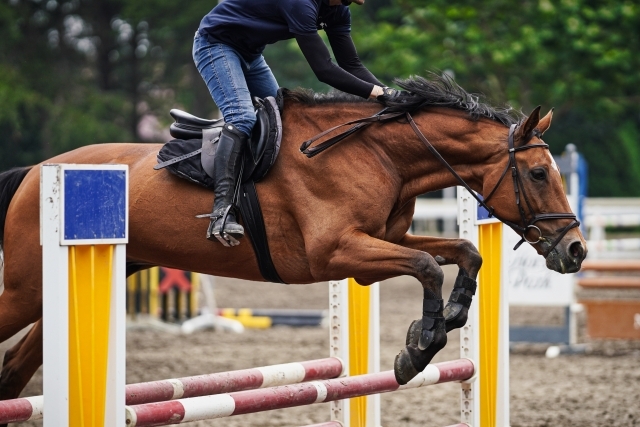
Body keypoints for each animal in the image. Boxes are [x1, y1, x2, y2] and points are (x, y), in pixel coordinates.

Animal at [0, 74, 584, 412]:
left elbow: (463, 252)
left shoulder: (377, 246)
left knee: (13, 371)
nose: (576, 250)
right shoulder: (338, 252)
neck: (379, 154)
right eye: (537, 173)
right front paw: (419, 347)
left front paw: (449, 317)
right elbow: (425, 264)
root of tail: (37, 172)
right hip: (25, 290)